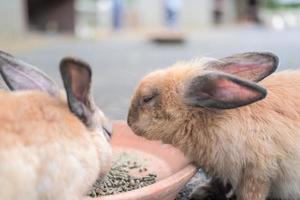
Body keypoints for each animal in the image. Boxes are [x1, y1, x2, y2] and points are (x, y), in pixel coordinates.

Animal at [125, 52, 300, 200]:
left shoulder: (256, 174)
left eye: (147, 98)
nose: (129, 123)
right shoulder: (225, 172)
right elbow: (219, 183)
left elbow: (251, 194)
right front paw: (201, 193)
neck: (203, 117)